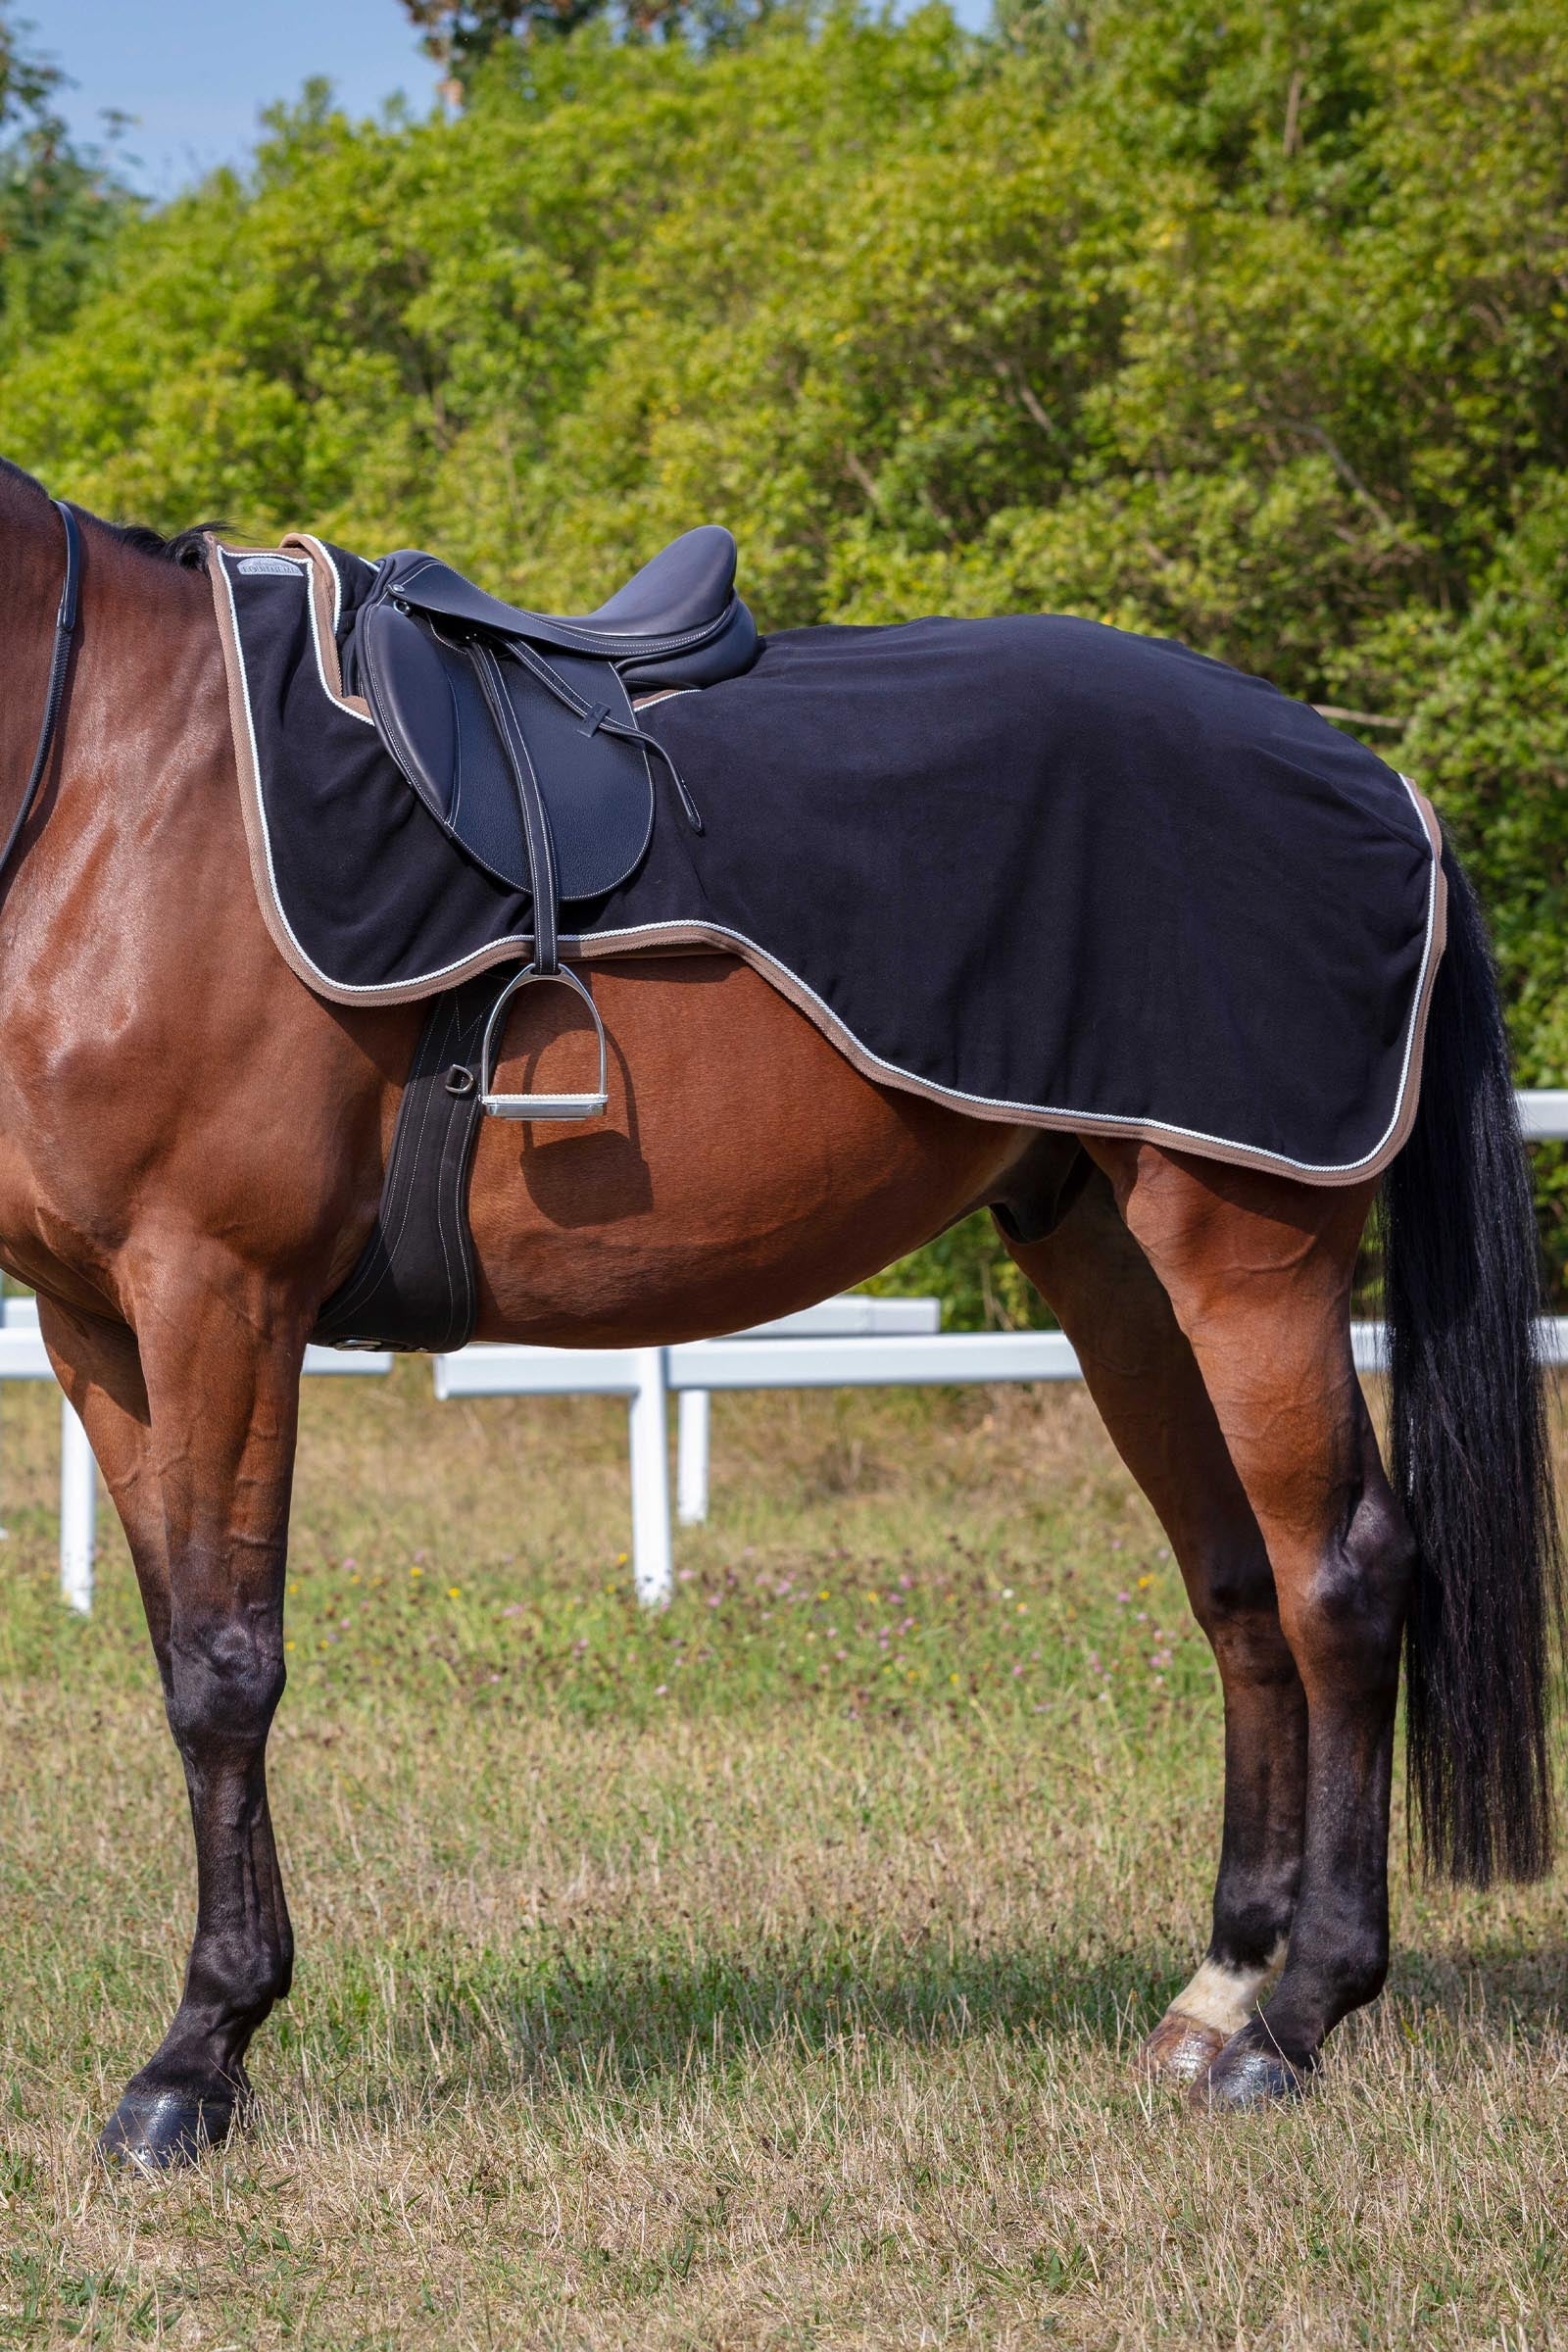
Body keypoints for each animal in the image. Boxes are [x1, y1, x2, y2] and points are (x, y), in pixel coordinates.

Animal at [0, 458, 1556, 2171]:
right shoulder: (97, 1329)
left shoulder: (218, 1289)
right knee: (1237, 1587)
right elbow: (175, 1658)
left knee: (1342, 1574)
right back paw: (1216, 1993)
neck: (119, 793)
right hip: (1116, 1260)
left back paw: (1297, 2022)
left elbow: (227, 1671)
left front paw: (195, 2061)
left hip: (1246, 1250)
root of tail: (1380, 783)